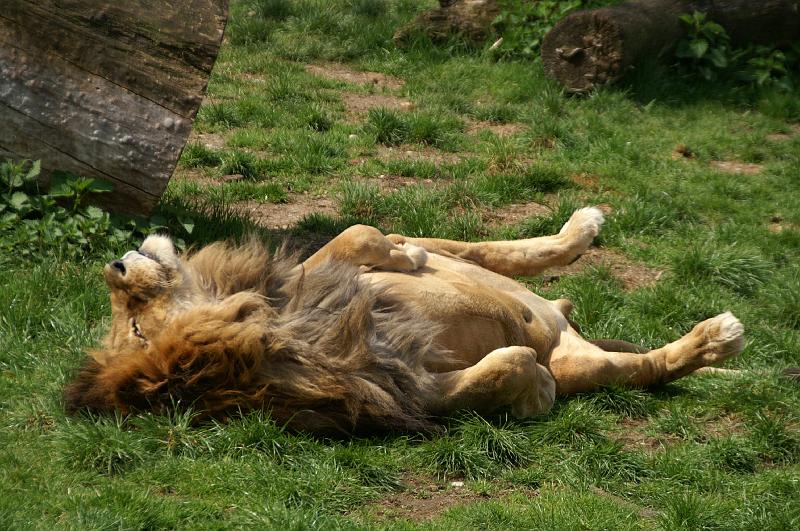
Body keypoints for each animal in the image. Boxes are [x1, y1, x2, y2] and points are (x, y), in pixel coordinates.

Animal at [64, 207, 744, 434]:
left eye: (131, 325)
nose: (112, 267)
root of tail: (565, 326)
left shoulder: (311, 284)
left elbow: (353, 235)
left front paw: (396, 256)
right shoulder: (403, 386)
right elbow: (496, 374)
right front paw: (533, 391)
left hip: (467, 260)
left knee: (482, 248)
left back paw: (581, 227)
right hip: (592, 364)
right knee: (643, 367)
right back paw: (717, 338)